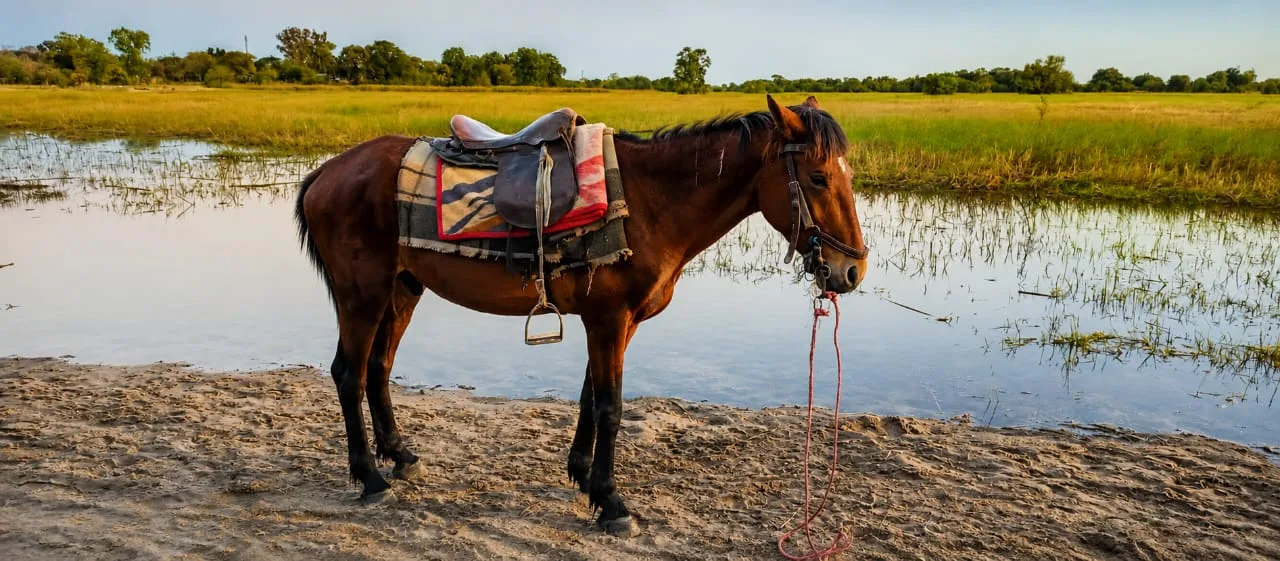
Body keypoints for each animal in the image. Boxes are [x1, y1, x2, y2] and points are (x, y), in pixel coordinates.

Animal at [293, 94, 869, 537]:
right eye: (818, 178)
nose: (852, 271)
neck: (651, 202)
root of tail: (327, 171)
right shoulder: (610, 319)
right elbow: (611, 407)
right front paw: (611, 504)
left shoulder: (615, 322)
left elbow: (591, 398)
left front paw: (583, 475)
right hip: (362, 295)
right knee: (348, 374)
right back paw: (370, 478)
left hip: (402, 290)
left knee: (377, 370)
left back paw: (399, 456)